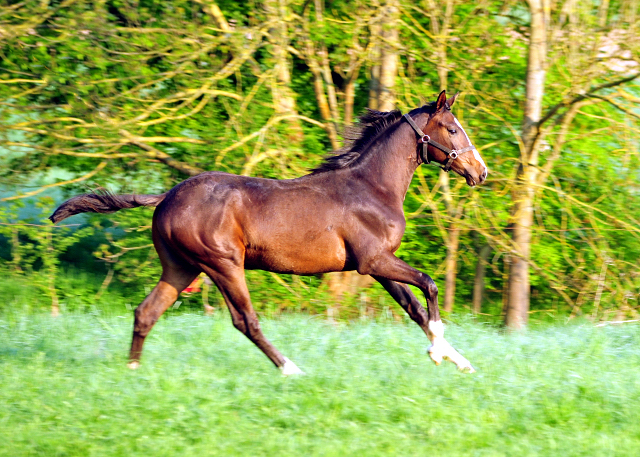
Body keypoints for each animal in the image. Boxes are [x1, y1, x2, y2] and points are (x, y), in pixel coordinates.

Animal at [51, 90, 490, 374]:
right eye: (452, 129)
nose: (481, 172)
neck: (371, 187)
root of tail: (167, 196)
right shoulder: (374, 261)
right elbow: (429, 286)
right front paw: (438, 354)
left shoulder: (377, 266)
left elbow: (414, 307)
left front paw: (460, 360)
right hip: (223, 264)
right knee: (245, 320)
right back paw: (291, 368)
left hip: (180, 267)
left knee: (146, 312)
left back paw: (132, 370)